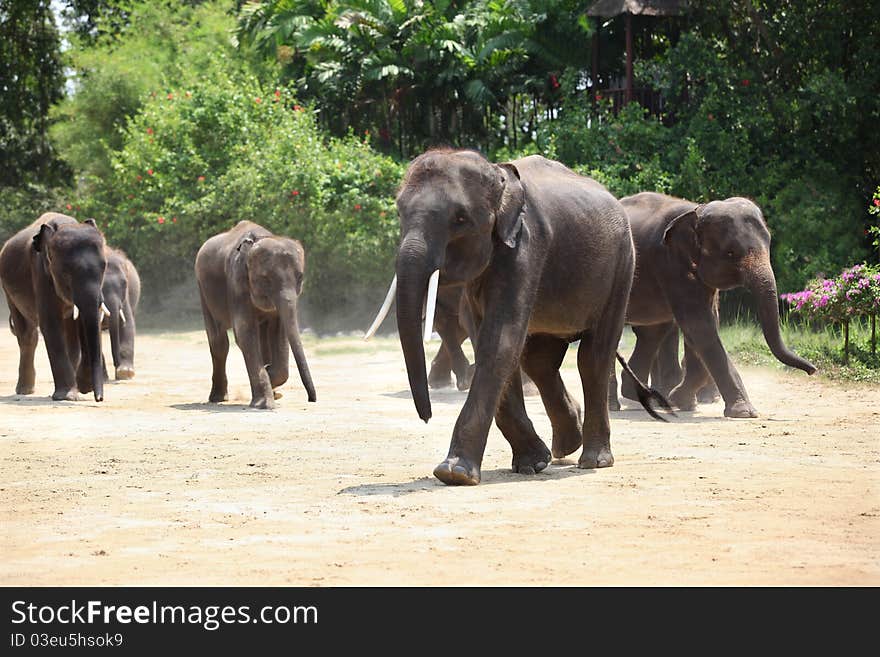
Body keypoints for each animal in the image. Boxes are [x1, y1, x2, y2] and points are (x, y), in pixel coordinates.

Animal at [0, 213, 109, 402]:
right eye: (66, 272)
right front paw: (67, 396)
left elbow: (82, 322)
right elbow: (50, 323)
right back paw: (25, 390)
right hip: (7, 291)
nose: (99, 398)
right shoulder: (41, 272)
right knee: (27, 334)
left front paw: (84, 388)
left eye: (104, 267)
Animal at [195, 220, 316, 408]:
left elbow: (279, 333)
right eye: (265, 279)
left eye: (300, 278)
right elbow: (245, 334)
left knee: (262, 340)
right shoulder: (236, 284)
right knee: (219, 341)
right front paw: (264, 403)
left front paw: (270, 378)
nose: (312, 399)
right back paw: (218, 398)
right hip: (203, 290)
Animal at [368, 150, 672, 486]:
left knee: (593, 356)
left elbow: (500, 340)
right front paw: (532, 463)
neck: (498, 175)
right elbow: (492, 342)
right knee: (539, 361)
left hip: (622, 268)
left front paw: (454, 473)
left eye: (460, 219)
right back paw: (566, 445)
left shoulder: (526, 247)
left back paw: (594, 461)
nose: (427, 416)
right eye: (399, 213)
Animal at [608, 191, 816, 416]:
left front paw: (682, 402)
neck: (696, 210)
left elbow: (704, 325)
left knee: (652, 332)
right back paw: (616, 405)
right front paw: (744, 413)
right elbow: (699, 326)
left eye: (769, 242)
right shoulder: (670, 263)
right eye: (730, 253)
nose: (812, 370)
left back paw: (640, 396)